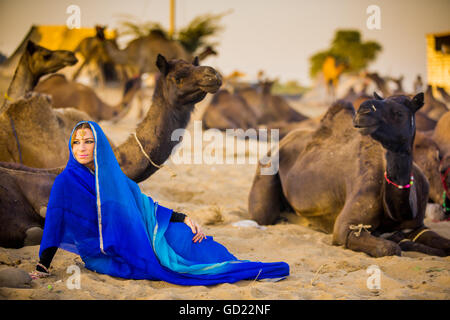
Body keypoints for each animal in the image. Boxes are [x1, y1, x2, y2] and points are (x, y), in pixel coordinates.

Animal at [248, 92, 450, 258]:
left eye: (399, 113)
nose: (364, 111)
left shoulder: (417, 225)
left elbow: (443, 245)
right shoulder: (345, 227)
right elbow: (390, 248)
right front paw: (400, 242)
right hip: (265, 173)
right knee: (263, 216)